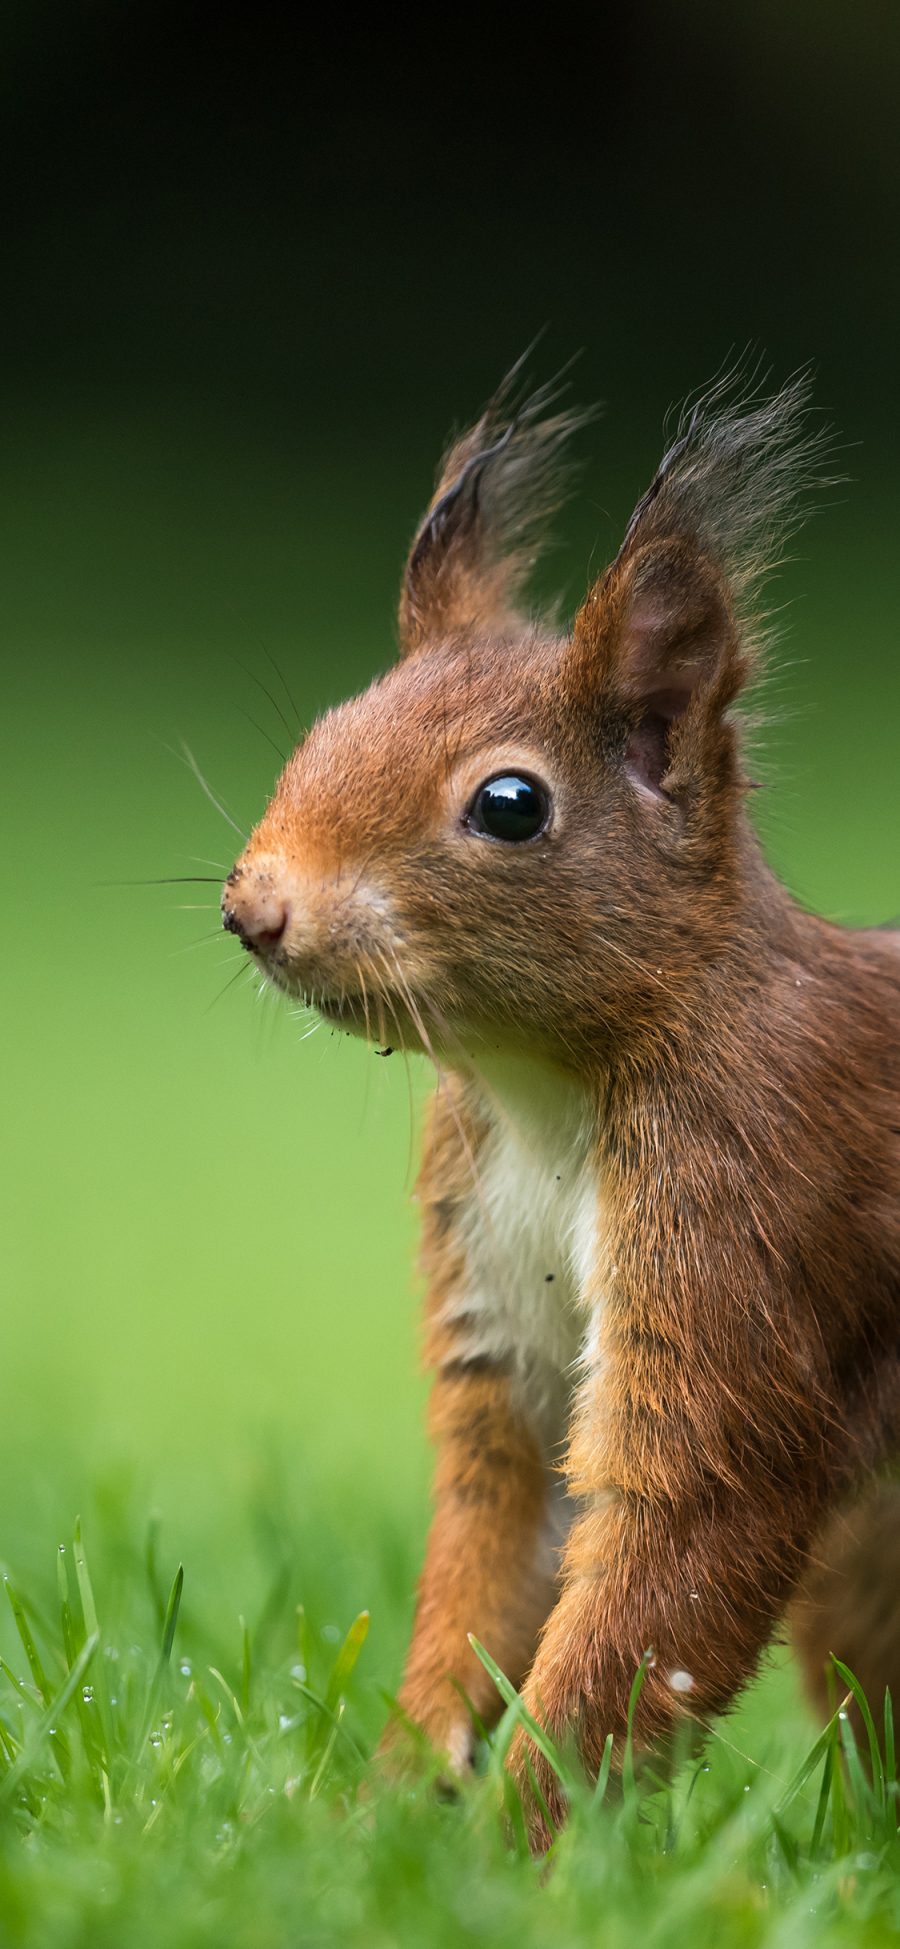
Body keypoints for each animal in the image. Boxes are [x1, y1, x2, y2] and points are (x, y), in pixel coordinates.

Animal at [220, 366, 900, 1839]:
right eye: (323, 733)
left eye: (511, 804)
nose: (257, 909)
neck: (544, 1092)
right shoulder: (498, 1303)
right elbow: (492, 1551)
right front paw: (385, 1810)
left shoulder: (749, 1206)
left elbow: (669, 1561)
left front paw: (516, 1842)